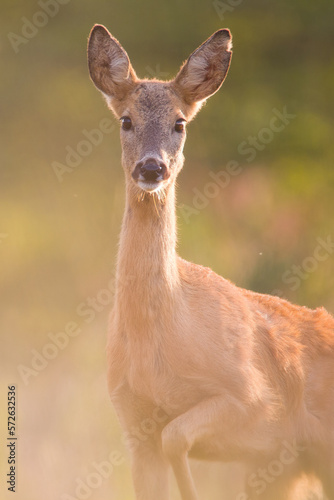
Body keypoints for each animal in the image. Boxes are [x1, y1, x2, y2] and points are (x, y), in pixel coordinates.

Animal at [88, 25, 334, 498]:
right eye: (125, 120)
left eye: (179, 123)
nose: (152, 168)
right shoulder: (133, 422)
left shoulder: (251, 397)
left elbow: (176, 436)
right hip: (284, 471)